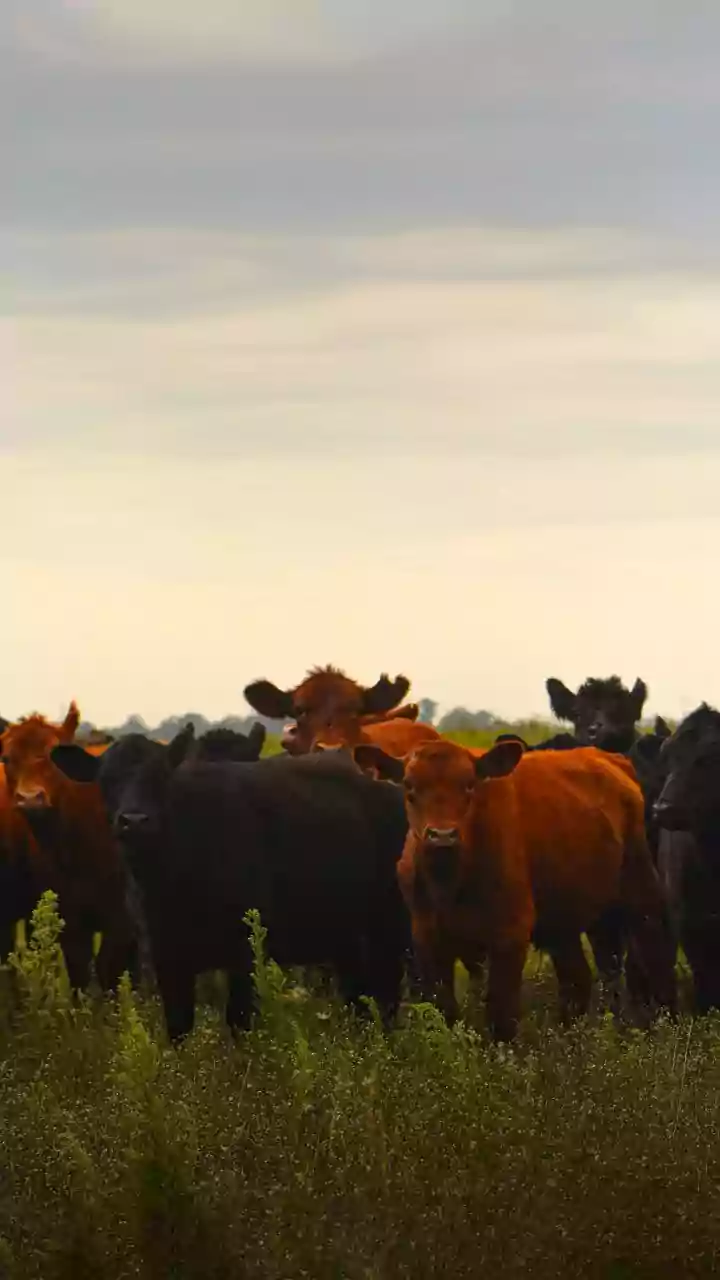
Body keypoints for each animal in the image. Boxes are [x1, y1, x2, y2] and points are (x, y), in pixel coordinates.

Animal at [0, 704, 139, 991]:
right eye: (6, 758)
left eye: (54, 756)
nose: (30, 798)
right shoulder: (70, 918)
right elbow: (79, 972)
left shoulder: (121, 921)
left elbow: (109, 970)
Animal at [50, 730, 412, 1042]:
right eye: (107, 780)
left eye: (161, 777)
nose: (135, 821)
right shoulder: (165, 955)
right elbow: (178, 1028)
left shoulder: (244, 954)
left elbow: (239, 1023)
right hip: (344, 937)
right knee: (358, 997)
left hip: (388, 928)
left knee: (387, 996)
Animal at [353, 738, 676, 1042]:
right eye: (410, 786)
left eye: (469, 785)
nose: (442, 835)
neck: (451, 883)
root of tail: (610, 758)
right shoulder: (428, 939)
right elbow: (445, 1010)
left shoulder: (509, 935)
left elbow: (501, 1014)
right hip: (565, 920)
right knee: (578, 980)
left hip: (640, 892)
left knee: (655, 957)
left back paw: (666, 1023)